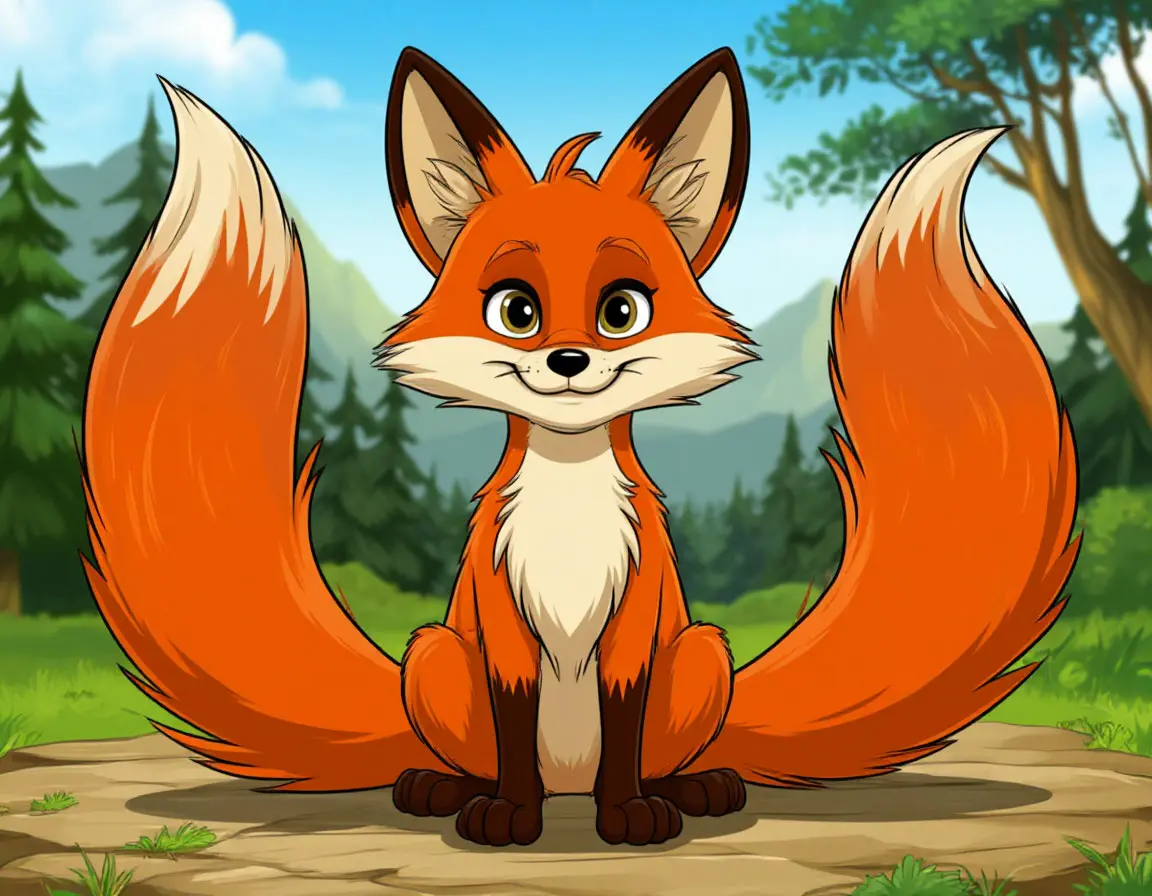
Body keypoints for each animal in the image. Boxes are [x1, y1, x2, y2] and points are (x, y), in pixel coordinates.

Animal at [80, 46, 1081, 849]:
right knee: (475, 752)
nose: (566, 361)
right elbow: (516, 729)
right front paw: (507, 819)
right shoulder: (501, 622)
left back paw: (695, 787)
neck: (567, 508)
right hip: (433, 656)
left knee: (667, 752)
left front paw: (629, 815)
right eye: (516, 311)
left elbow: (624, 730)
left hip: (703, 654)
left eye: (620, 309)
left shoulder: (637, 622)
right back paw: (444, 787)